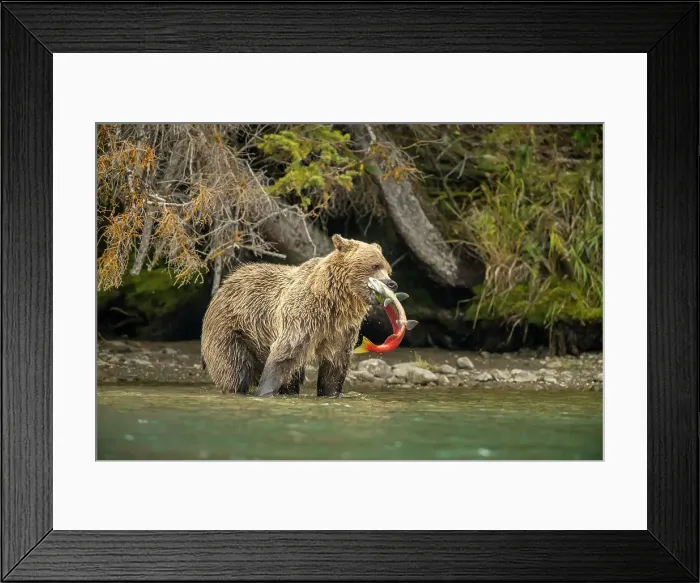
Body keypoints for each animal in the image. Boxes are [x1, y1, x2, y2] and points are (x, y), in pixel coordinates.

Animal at [200, 234, 396, 397]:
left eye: (388, 269)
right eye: (374, 265)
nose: (391, 283)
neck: (333, 302)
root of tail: (225, 284)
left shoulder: (341, 329)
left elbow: (335, 365)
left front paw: (332, 393)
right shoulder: (301, 317)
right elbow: (285, 354)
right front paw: (265, 391)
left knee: (292, 376)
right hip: (233, 329)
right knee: (234, 369)